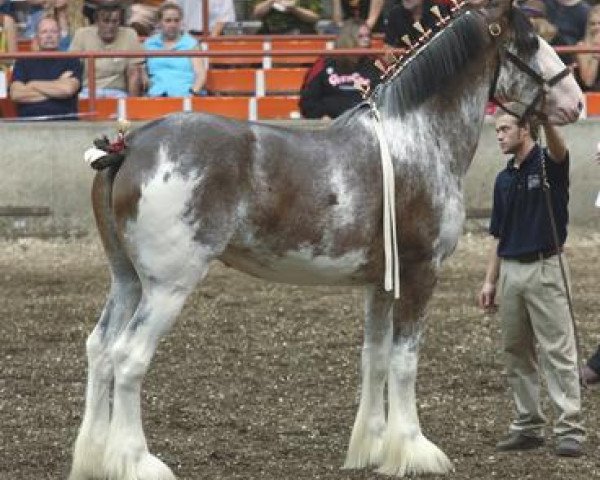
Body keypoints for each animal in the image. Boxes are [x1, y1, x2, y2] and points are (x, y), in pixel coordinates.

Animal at [68, 0, 584, 478]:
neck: (416, 138)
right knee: (129, 359)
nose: (576, 101)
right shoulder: (420, 272)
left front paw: (373, 447)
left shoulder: (381, 283)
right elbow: (405, 360)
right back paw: (137, 461)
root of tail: (130, 145)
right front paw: (414, 450)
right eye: (530, 42)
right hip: (168, 287)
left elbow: (374, 358)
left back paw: (94, 457)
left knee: (100, 350)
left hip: (128, 281)